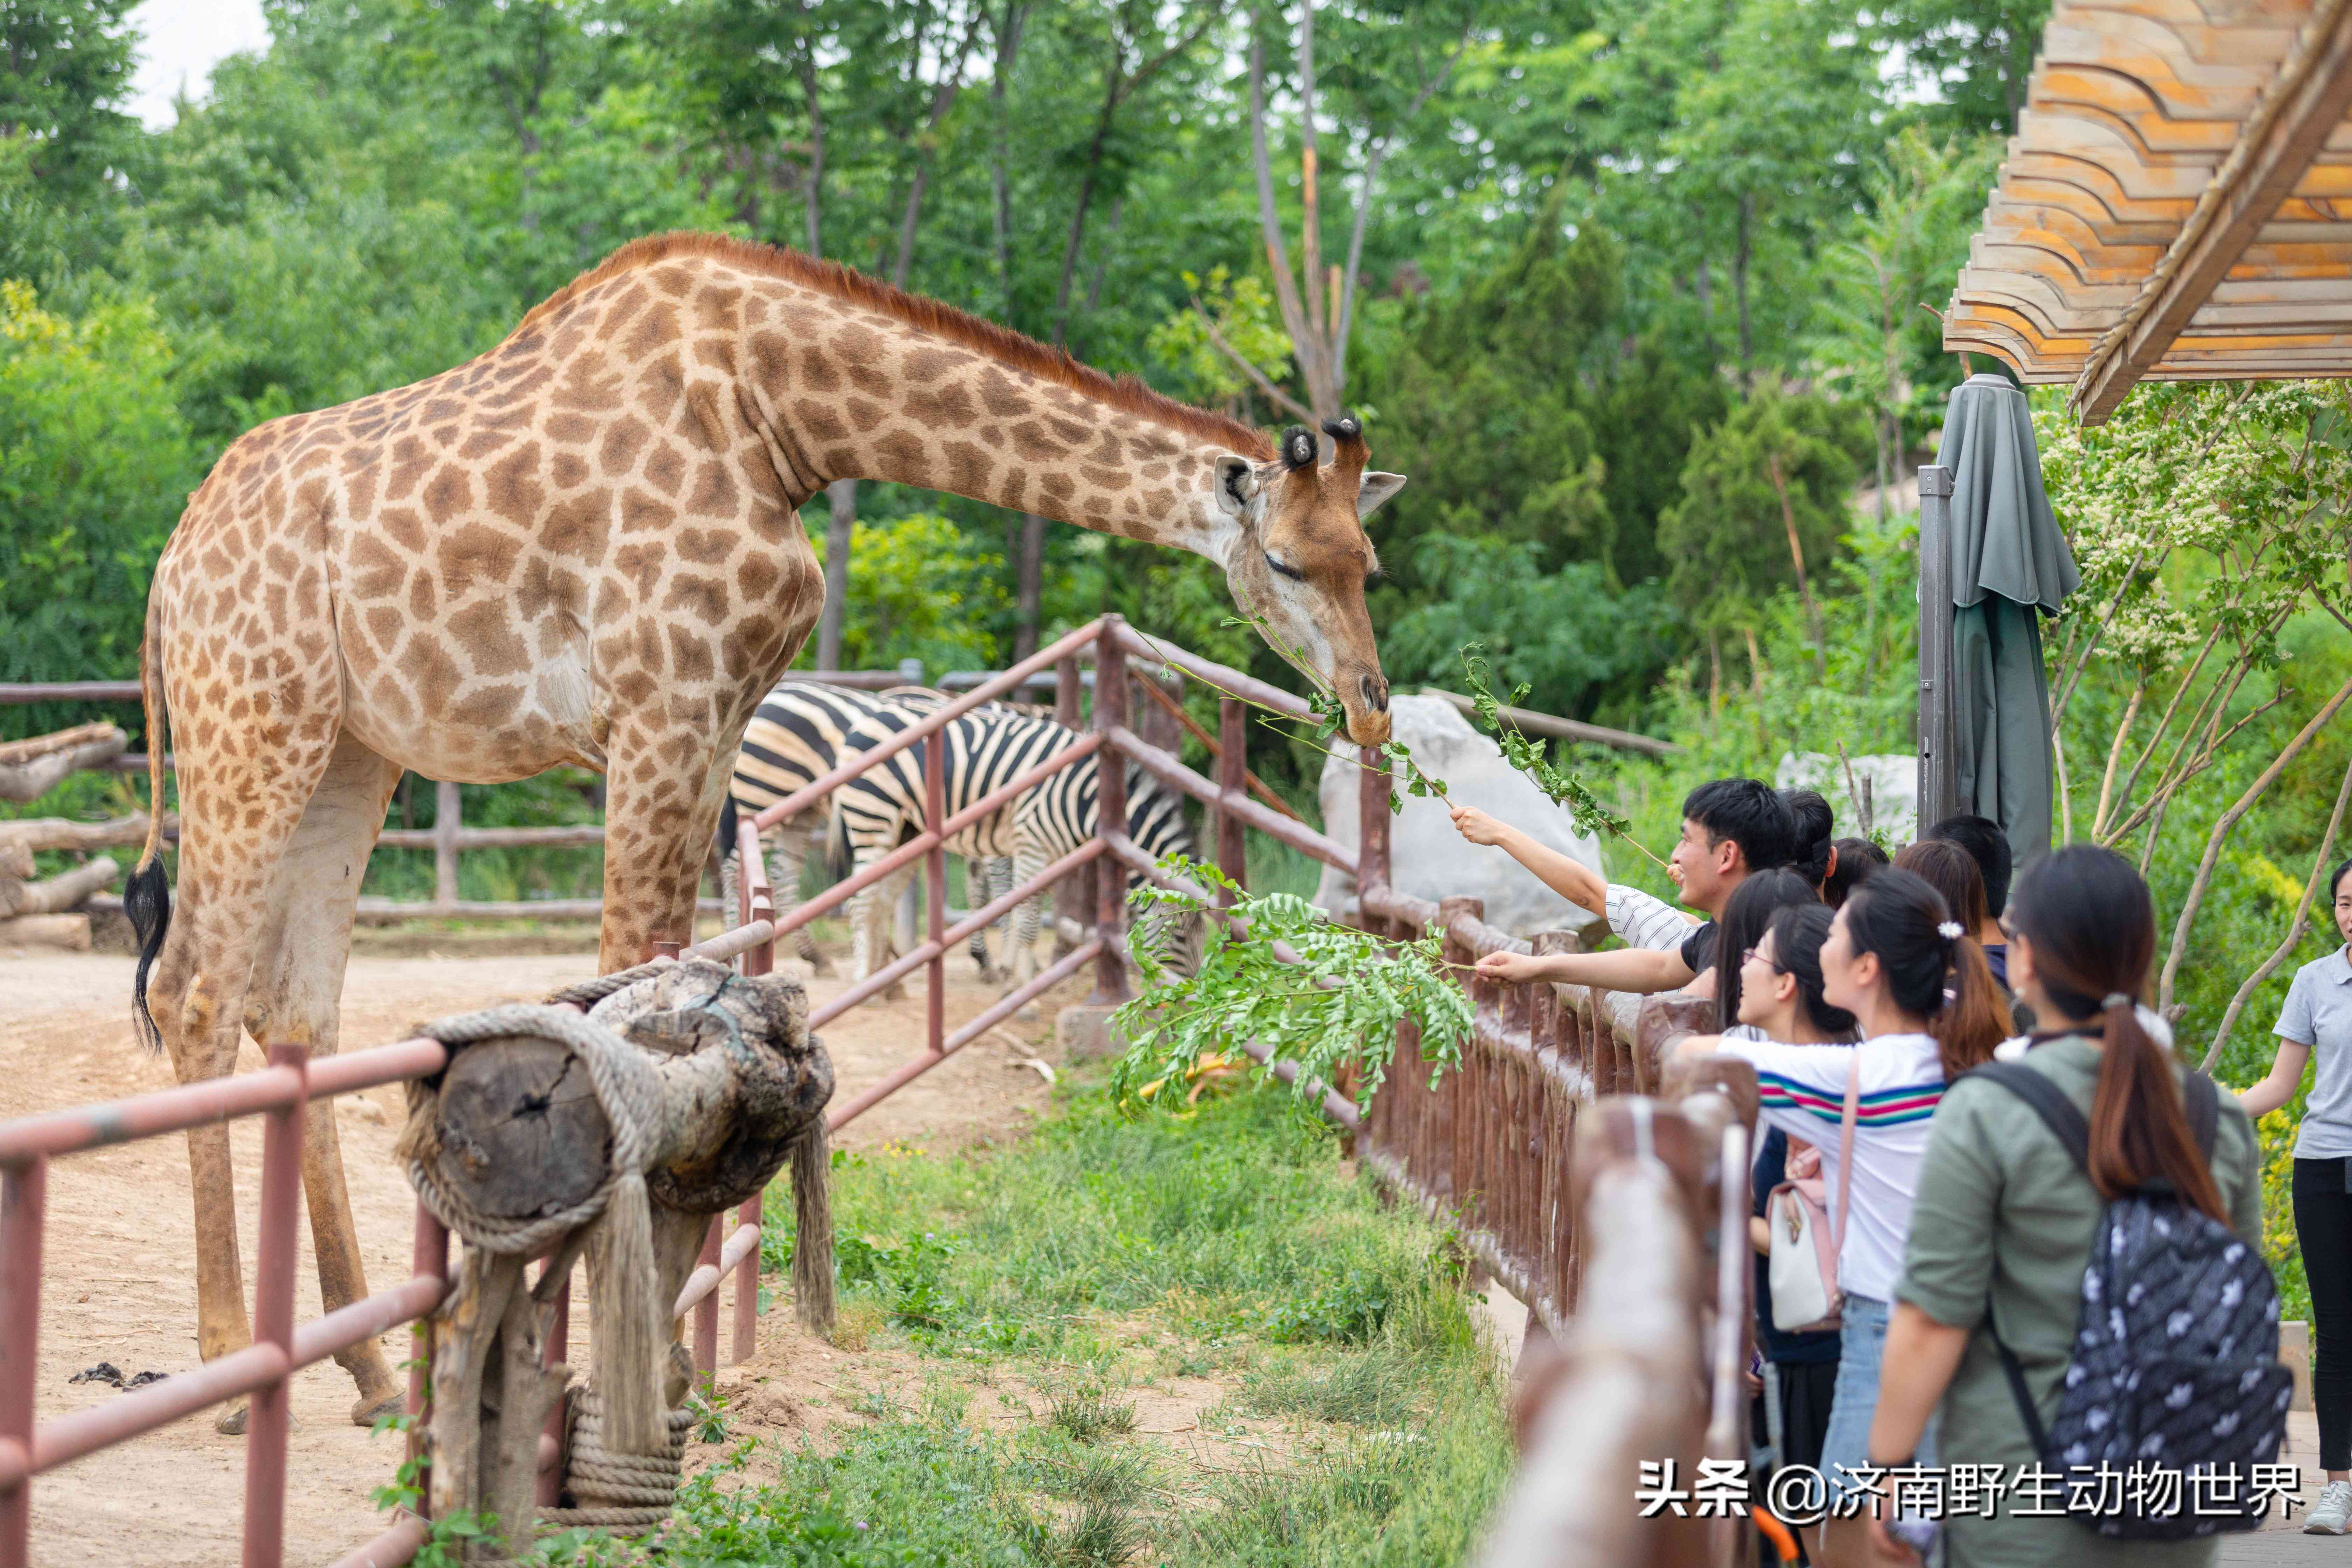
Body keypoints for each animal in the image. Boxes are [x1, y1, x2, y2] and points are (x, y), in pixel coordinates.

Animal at [715, 686, 1011, 982]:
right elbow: (1000, 887)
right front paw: (999, 963)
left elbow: (979, 889)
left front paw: (987, 959)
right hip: (764, 795)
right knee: (735, 870)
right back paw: (737, 958)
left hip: (800, 811)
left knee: (783, 876)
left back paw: (818, 958)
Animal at [828, 710, 1204, 992]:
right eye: (1180, 936)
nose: (1193, 994)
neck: (1086, 799)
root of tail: (861, 724)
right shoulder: (1032, 842)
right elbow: (1026, 918)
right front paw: (1021, 987)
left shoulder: (1048, 854)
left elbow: (1030, 912)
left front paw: (1018, 976)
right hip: (872, 818)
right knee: (861, 902)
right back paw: (863, 979)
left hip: (906, 832)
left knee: (881, 901)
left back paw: (884, 984)